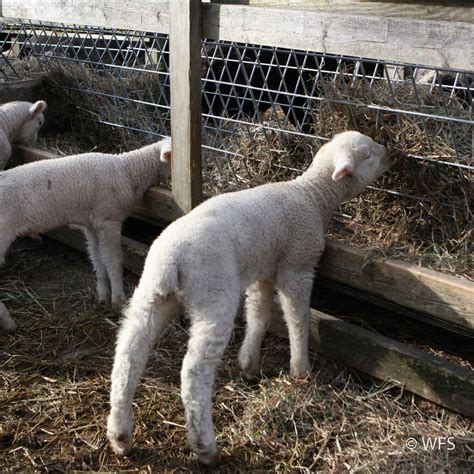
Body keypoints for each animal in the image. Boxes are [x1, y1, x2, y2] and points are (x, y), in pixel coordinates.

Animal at [0, 137, 170, 330]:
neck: (128, 171)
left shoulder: (92, 223)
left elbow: (97, 256)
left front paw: (103, 294)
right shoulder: (108, 218)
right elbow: (114, 259)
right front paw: (119, 299)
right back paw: (8, 322)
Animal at [106, 131, 392, 464]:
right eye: (368, 155)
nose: (390, 154)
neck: (311, 195)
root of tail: (171, 261)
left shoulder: (263, 270)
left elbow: (259, 314)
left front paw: (249, 363)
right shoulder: (297, 265)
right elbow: (297, 316)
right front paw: (300, 369)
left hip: (151, 294)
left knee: (128, 355)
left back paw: (121, 436)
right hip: (214, 295)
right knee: (194, 372)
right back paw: (205, 447)